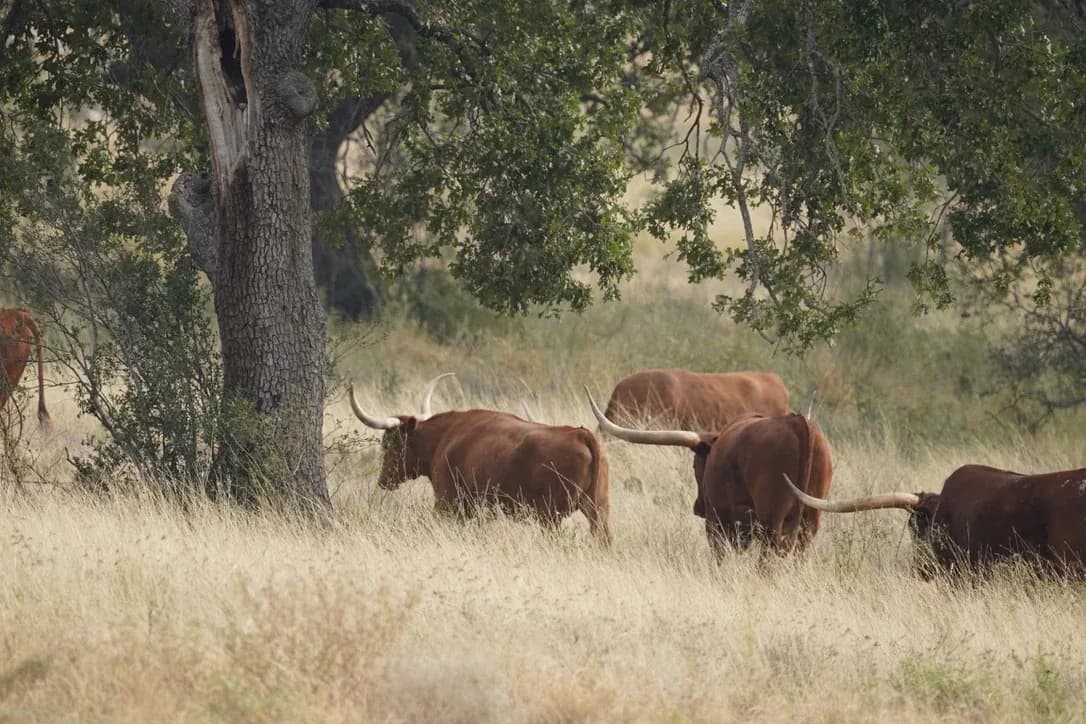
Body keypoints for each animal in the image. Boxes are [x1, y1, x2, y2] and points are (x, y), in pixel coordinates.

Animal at [351, 374, 611, 542]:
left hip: (551, 516)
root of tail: (579, 433)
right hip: (599, 511)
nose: (383, 481)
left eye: (389, 444)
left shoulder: (447, 502)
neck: (445, 436)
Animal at [587, 389, 831, 556]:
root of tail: (799, 424)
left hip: (770, 521)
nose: (697, 508)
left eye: (695, 466)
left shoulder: (718, 520)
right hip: (809, 522)